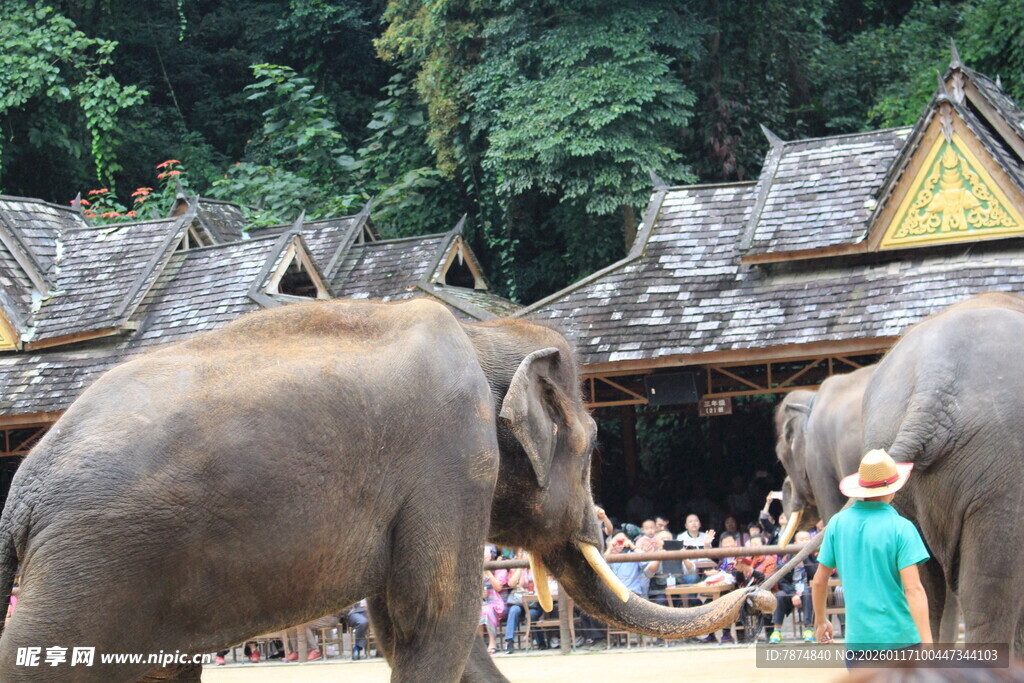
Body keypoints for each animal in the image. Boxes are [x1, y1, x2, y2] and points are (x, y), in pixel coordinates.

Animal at [0, 298, 775, 682]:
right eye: (590, 454)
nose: (759, 594)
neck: (483, 333)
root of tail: (20, 496)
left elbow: (422, 628)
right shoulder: (446, 462)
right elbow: (430, 620)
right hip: (92, 568)